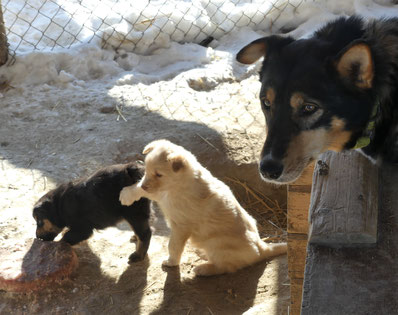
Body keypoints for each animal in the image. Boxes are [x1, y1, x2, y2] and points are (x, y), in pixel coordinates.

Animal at [119, 140, 288, 276]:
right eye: (147, 169)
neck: (177, 185)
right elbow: (141, 188)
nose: (145, 185)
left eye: (159, 174)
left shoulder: (181, 225)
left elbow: (173, 246)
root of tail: (262, 247)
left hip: (216, 244)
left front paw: (171, 262)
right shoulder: (162, 195)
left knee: (227, 267)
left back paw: (203, 269)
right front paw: (128, 194)